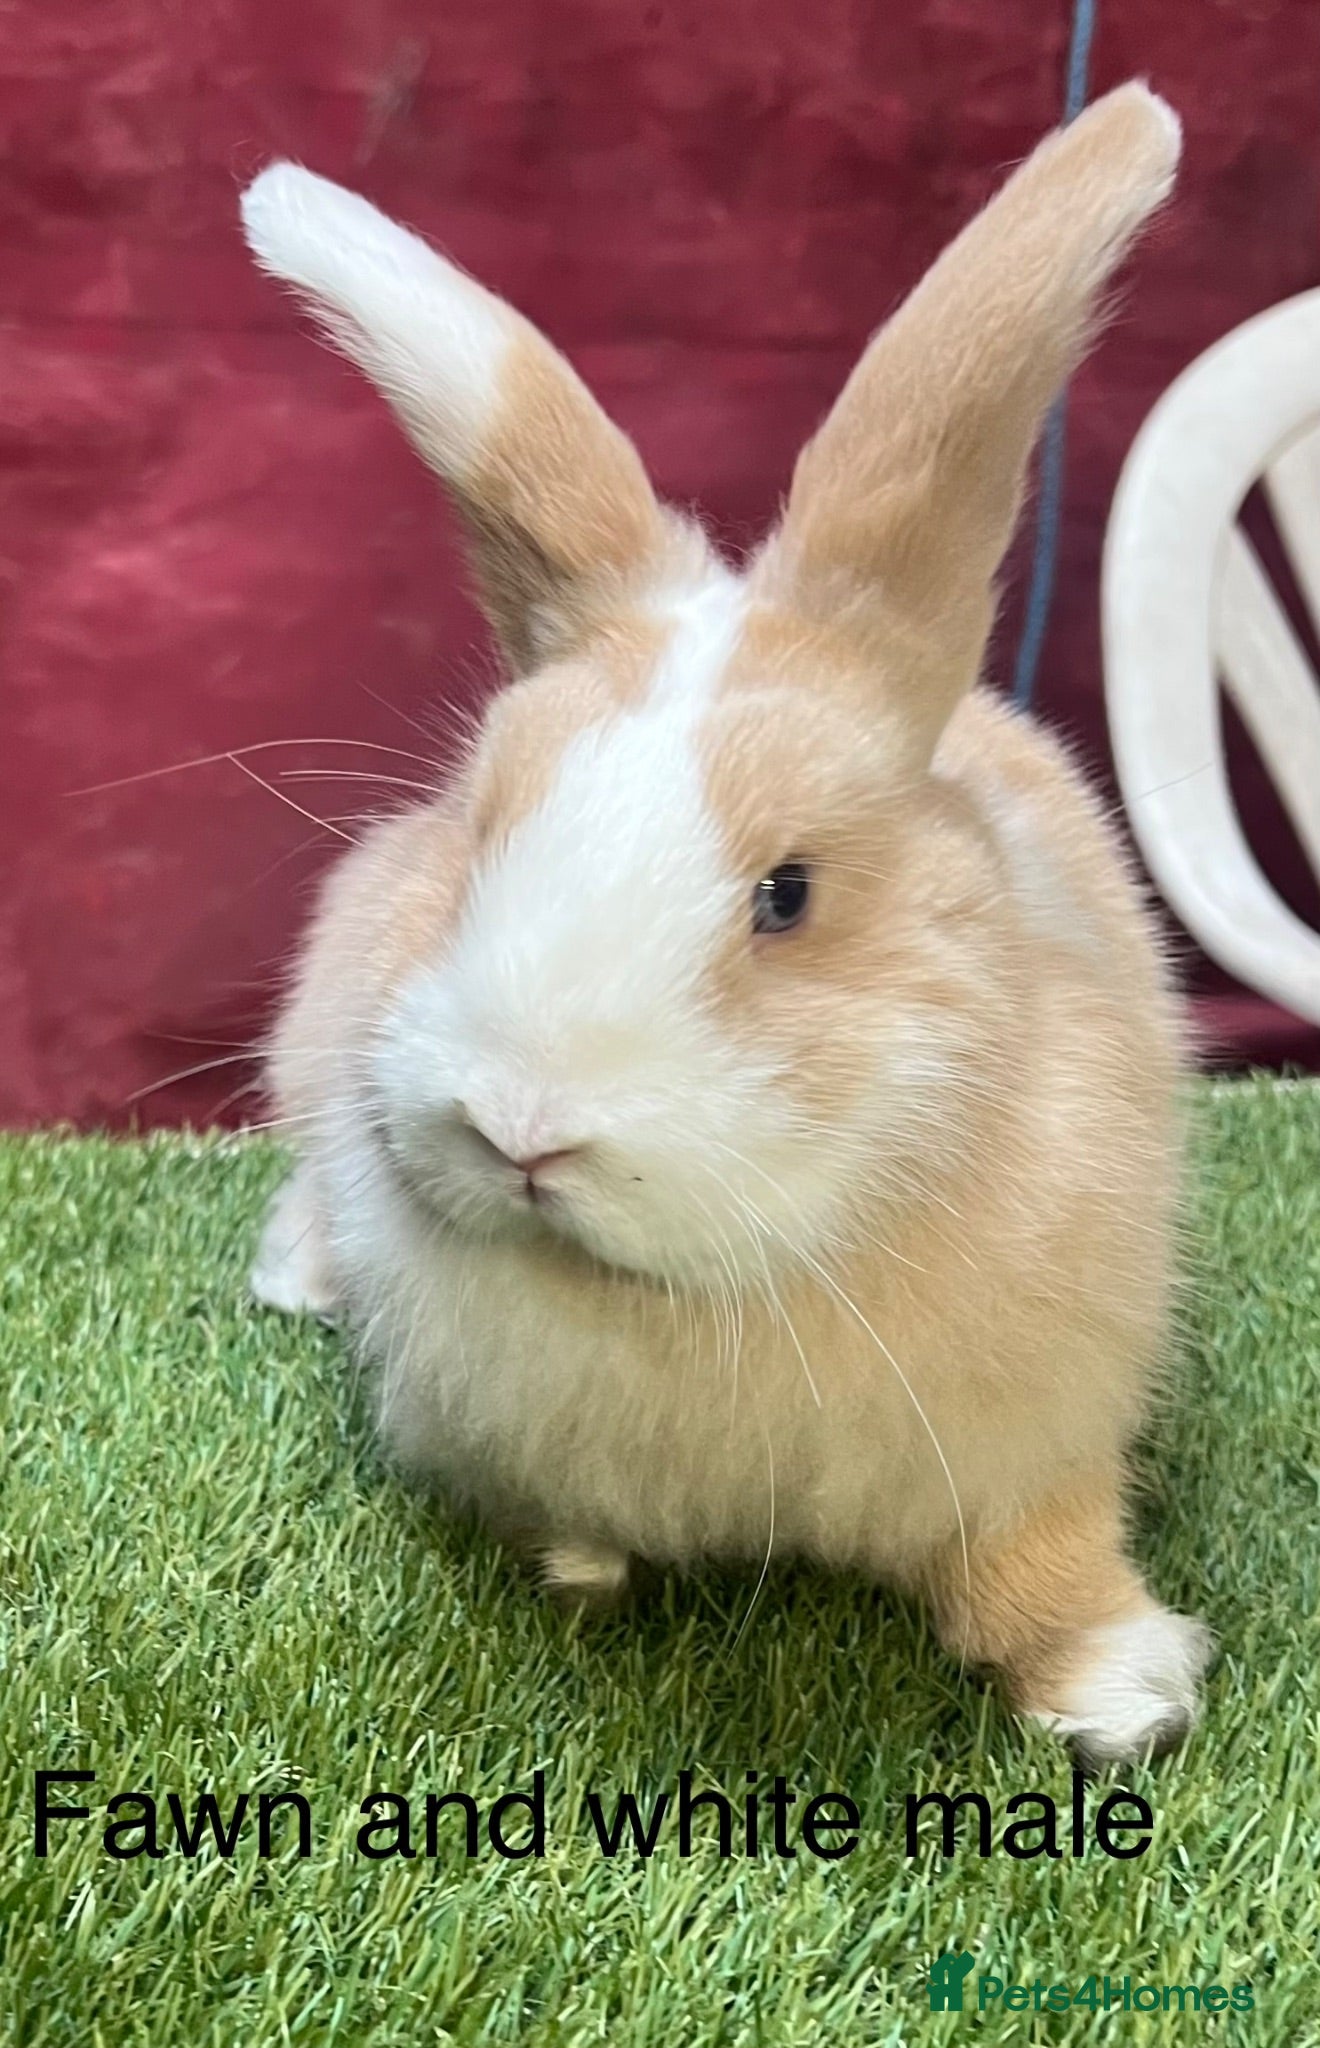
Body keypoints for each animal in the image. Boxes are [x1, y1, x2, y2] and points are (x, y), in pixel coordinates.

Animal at [240, 83, 1212, 1766]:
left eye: (789, 894)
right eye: (482, 821)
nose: (523, 1128)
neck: (709, 1295)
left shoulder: (1037, 1439)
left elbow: (1040, 1561)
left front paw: (1125, 1699)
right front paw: (580, 1568)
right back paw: (300, 1278)